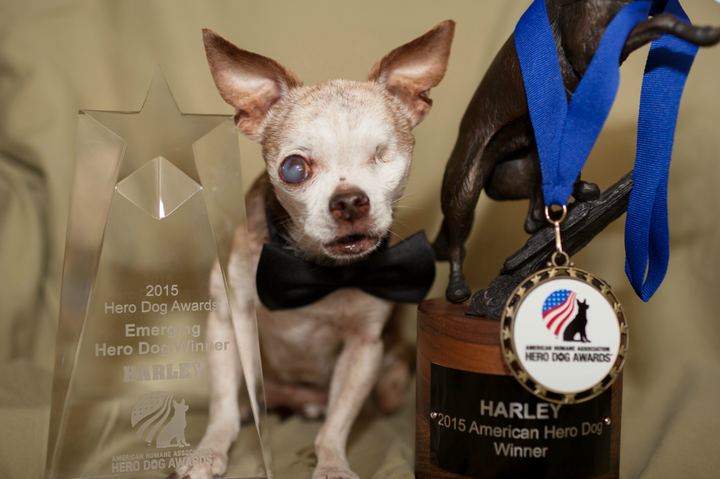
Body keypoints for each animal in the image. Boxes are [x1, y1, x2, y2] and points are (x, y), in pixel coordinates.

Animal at [174, 20, 452, 478]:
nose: (350, 201)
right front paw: (209, 450)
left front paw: (333, 464)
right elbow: (222, 406)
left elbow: (338, 420)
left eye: (384, 156)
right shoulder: (229, 321)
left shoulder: (364, 347)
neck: (317, 272)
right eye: (294, 168)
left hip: (392, 373)